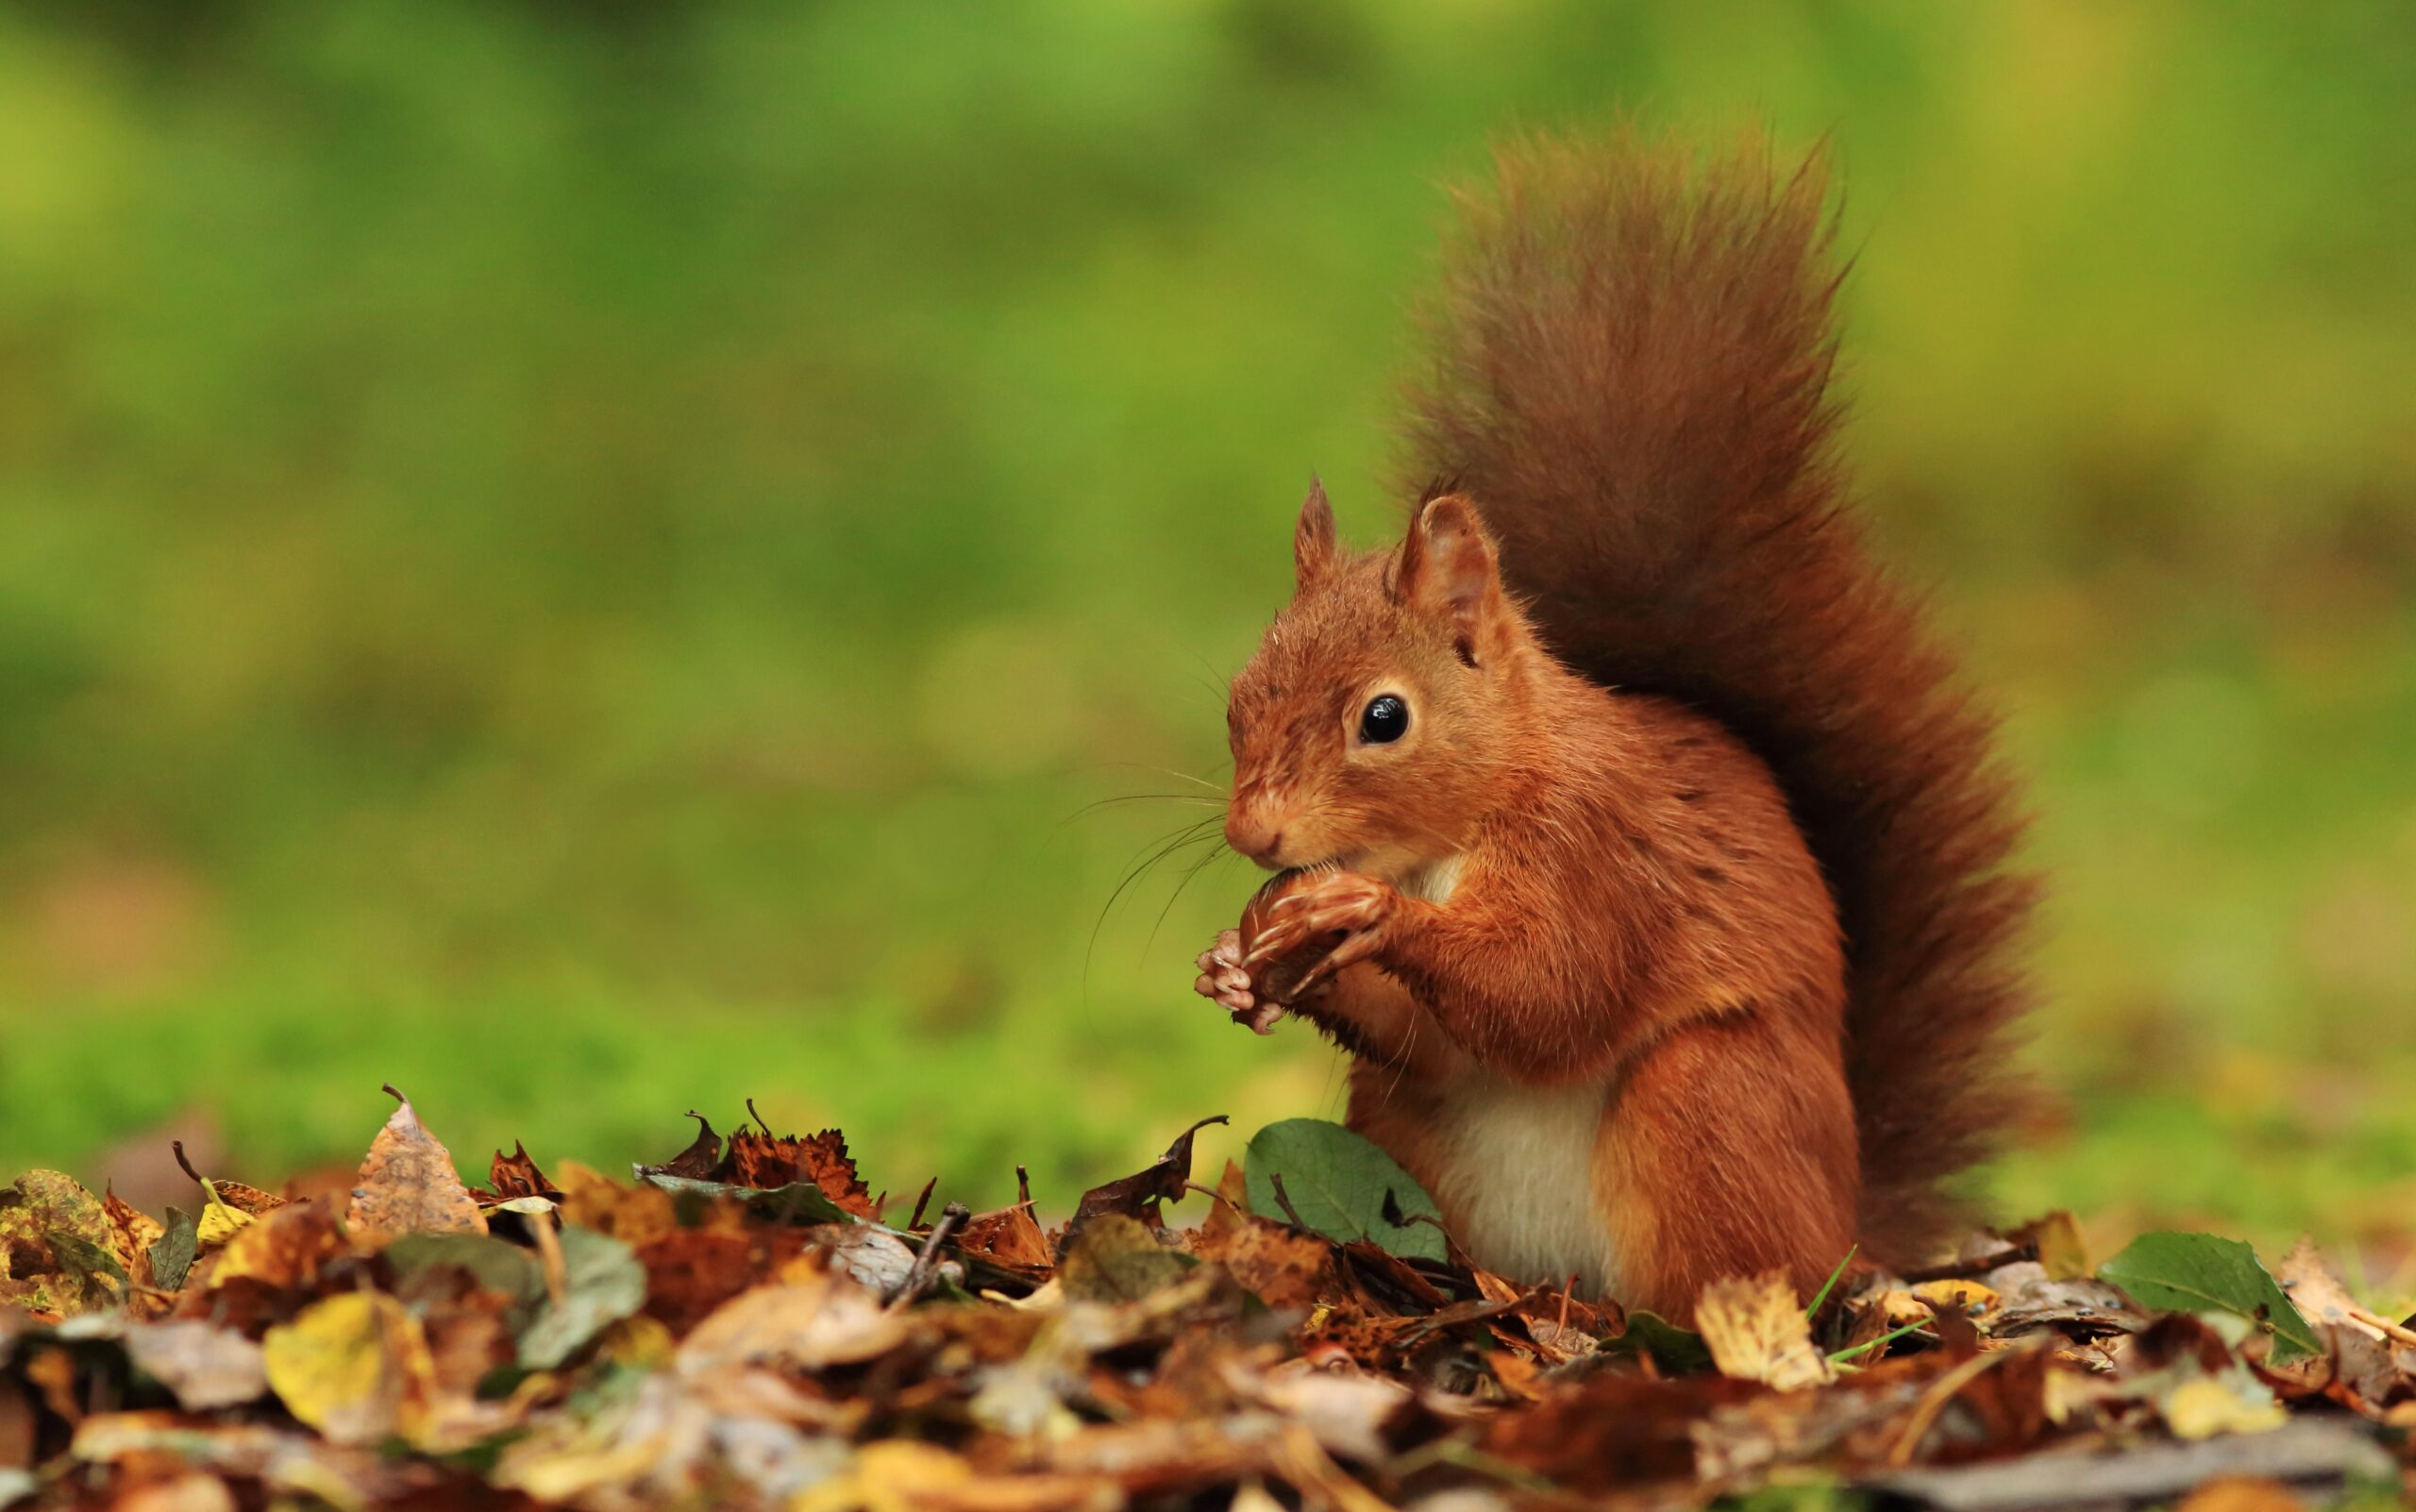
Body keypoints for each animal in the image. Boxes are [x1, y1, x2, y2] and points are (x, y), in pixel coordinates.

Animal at [1198, 128, 2029, 1314]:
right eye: (1237, 696)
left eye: (1384, 717)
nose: (1252, 836)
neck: (1455, 830)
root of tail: (1849, 1234)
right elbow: (1439, 1044)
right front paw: (1233, 963)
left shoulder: (1599, 853)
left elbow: (1550, 991)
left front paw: (1363, 912)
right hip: (1409, 1139)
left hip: (1706, 1103)